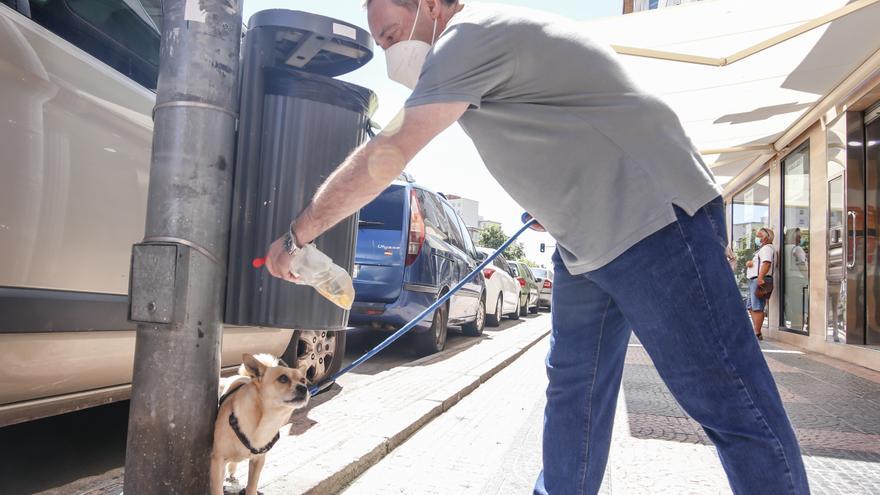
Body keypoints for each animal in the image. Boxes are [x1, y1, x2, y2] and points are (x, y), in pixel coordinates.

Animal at [211, 352, 310, 495]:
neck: (266, 420)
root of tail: (246, 377)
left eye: (303, 380)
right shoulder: (217, 461)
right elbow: (217, 490)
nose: (304, 388)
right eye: (283, 379)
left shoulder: (258, 461)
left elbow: (252, 487)